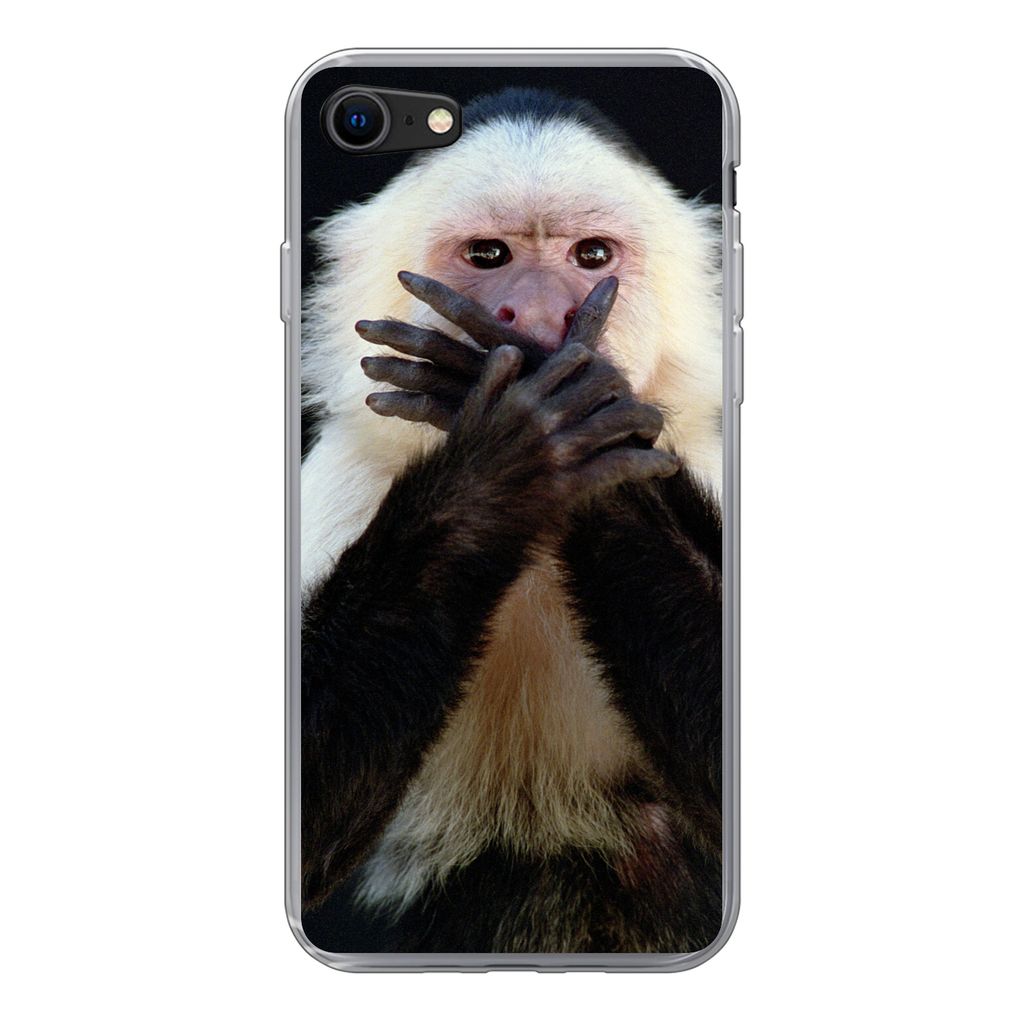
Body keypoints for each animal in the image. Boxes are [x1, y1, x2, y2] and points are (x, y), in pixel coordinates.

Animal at [299, 88, 723, 954]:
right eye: (489, 255)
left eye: (591, 257)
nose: (534, 316)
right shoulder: (347, 480)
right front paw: (514, 452)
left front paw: (575, 417)